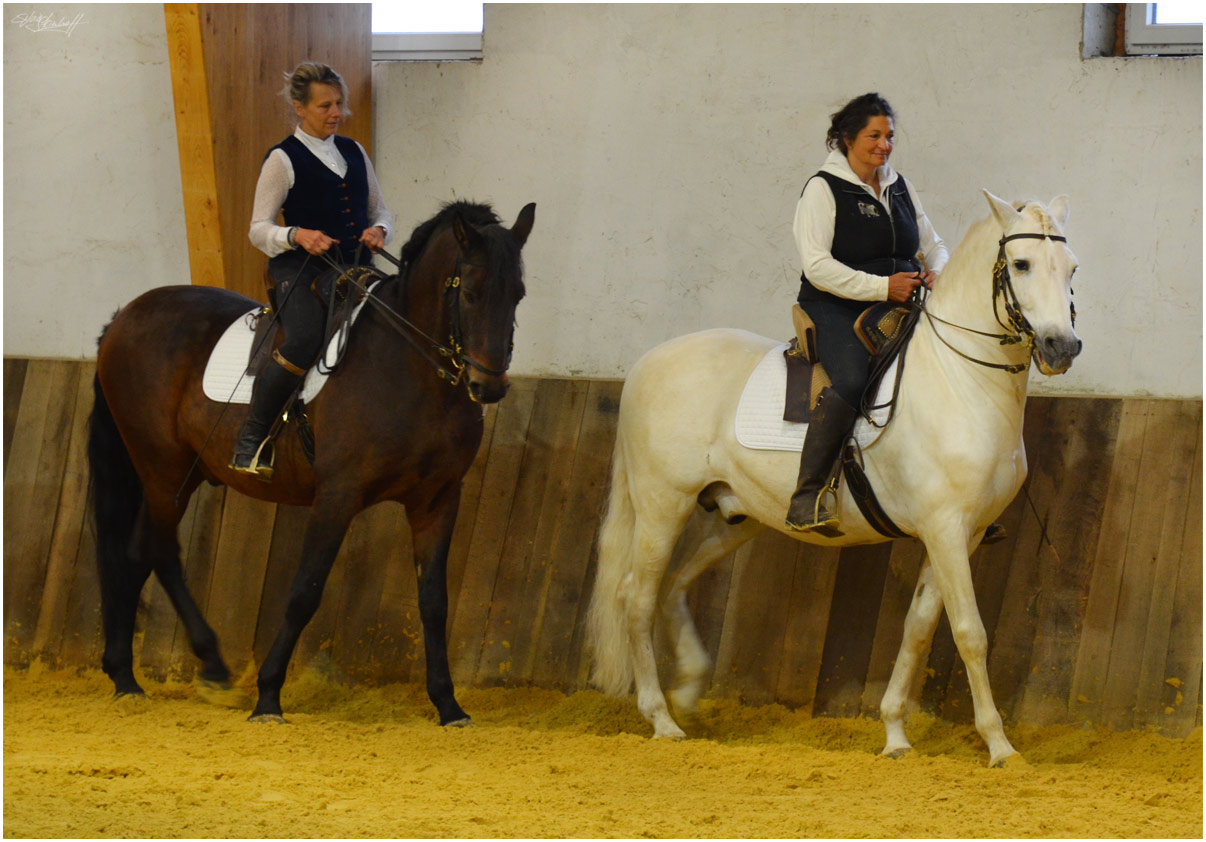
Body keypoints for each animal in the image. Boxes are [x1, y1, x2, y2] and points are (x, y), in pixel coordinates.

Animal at [87, 197, 535, 723]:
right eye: (470, 293)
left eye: (518, 294)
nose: (489, 387)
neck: (411, 368)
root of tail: (124, 317)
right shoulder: (337, 495)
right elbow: (305, 592)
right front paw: (267, 696)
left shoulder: (437, 500)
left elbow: (433, 601)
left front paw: (448, 704)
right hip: (162, 467)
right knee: (158, 549)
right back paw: (209, 667)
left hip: (185, 470)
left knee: (137, 551)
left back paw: (125, 676)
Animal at [588, 191, 1080, 767]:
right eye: (1021, 264)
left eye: (1071, 267)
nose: (1061, 347)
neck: (961, 379)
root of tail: (647, 362)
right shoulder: (946, 530)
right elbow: (969, 632)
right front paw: (1000, 746)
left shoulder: (965, 534)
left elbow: (917, 628)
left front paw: (895, 734)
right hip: (662, 506)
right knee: (637, 597)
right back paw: (661, 719)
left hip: (734, 517)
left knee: (674, 585)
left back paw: (686, 692)